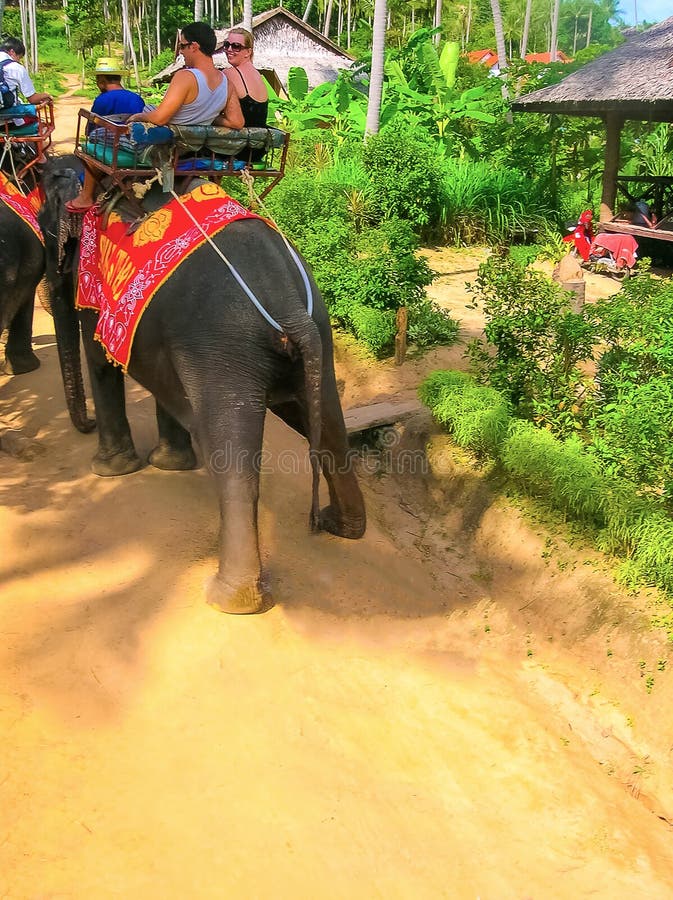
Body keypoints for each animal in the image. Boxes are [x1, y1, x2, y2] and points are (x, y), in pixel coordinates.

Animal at [39, 156, 366, 614]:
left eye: (42, 224)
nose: (82, 427)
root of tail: (289, 306)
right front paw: (168, 463)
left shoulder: (94, 280)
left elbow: (99, 357)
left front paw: (110, 470)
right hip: (318, 337)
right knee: (331, 425)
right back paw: (343, 527)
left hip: (223, 354)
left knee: (232, 456)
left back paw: (230, 599)